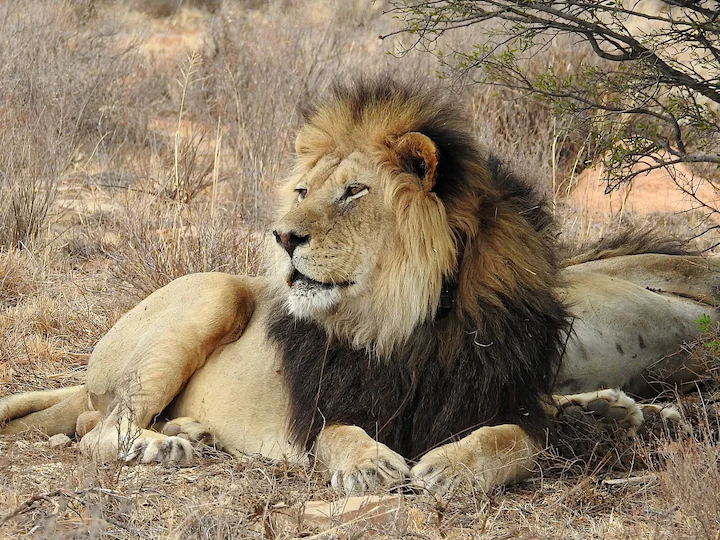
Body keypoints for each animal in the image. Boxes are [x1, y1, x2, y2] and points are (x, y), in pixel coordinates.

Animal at [1, 78, 718, 494]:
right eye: (301, 191)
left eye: (353, 192)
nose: (282, 236)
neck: (415, 320)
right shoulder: (327, 407)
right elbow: (339, 434)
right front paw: (369, 466)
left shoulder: (502, 398)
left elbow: (514, 441)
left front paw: (453, 467)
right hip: (212, 295)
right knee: (98, 429)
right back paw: (164, 444)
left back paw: (614, 411)